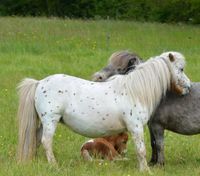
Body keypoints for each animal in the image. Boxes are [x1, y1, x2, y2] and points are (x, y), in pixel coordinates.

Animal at [17, 51, 191, 172]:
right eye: (181, 69)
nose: (188, 87)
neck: (135, 91)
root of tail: (39, 83)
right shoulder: (135, 127)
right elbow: (141, 150)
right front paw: (146, 170)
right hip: (50, 121)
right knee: (46, 141)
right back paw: (54, 165)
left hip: (44, 123)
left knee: (36, 139)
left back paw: (33, 161)